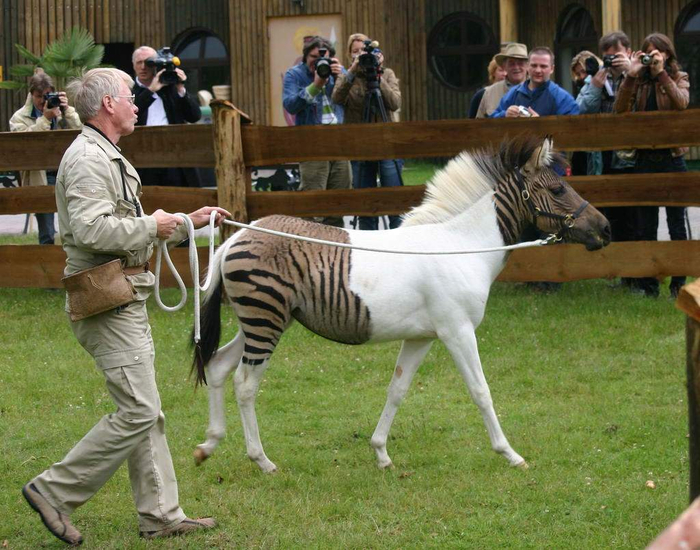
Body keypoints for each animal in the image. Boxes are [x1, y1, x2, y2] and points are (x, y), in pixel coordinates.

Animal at [190, 135, 611, 473]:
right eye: (558, 190)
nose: (606, 230)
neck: (462, 246)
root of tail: (236, 236)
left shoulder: (422, 337)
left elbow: (398, 389)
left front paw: (380, 453)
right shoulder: (458, 331)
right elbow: (481, 390)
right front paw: (510, 454)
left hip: (263, 320)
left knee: (219, 365)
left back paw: (209, 444)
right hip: (265, 320)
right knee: (245, 383)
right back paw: (261, 460)